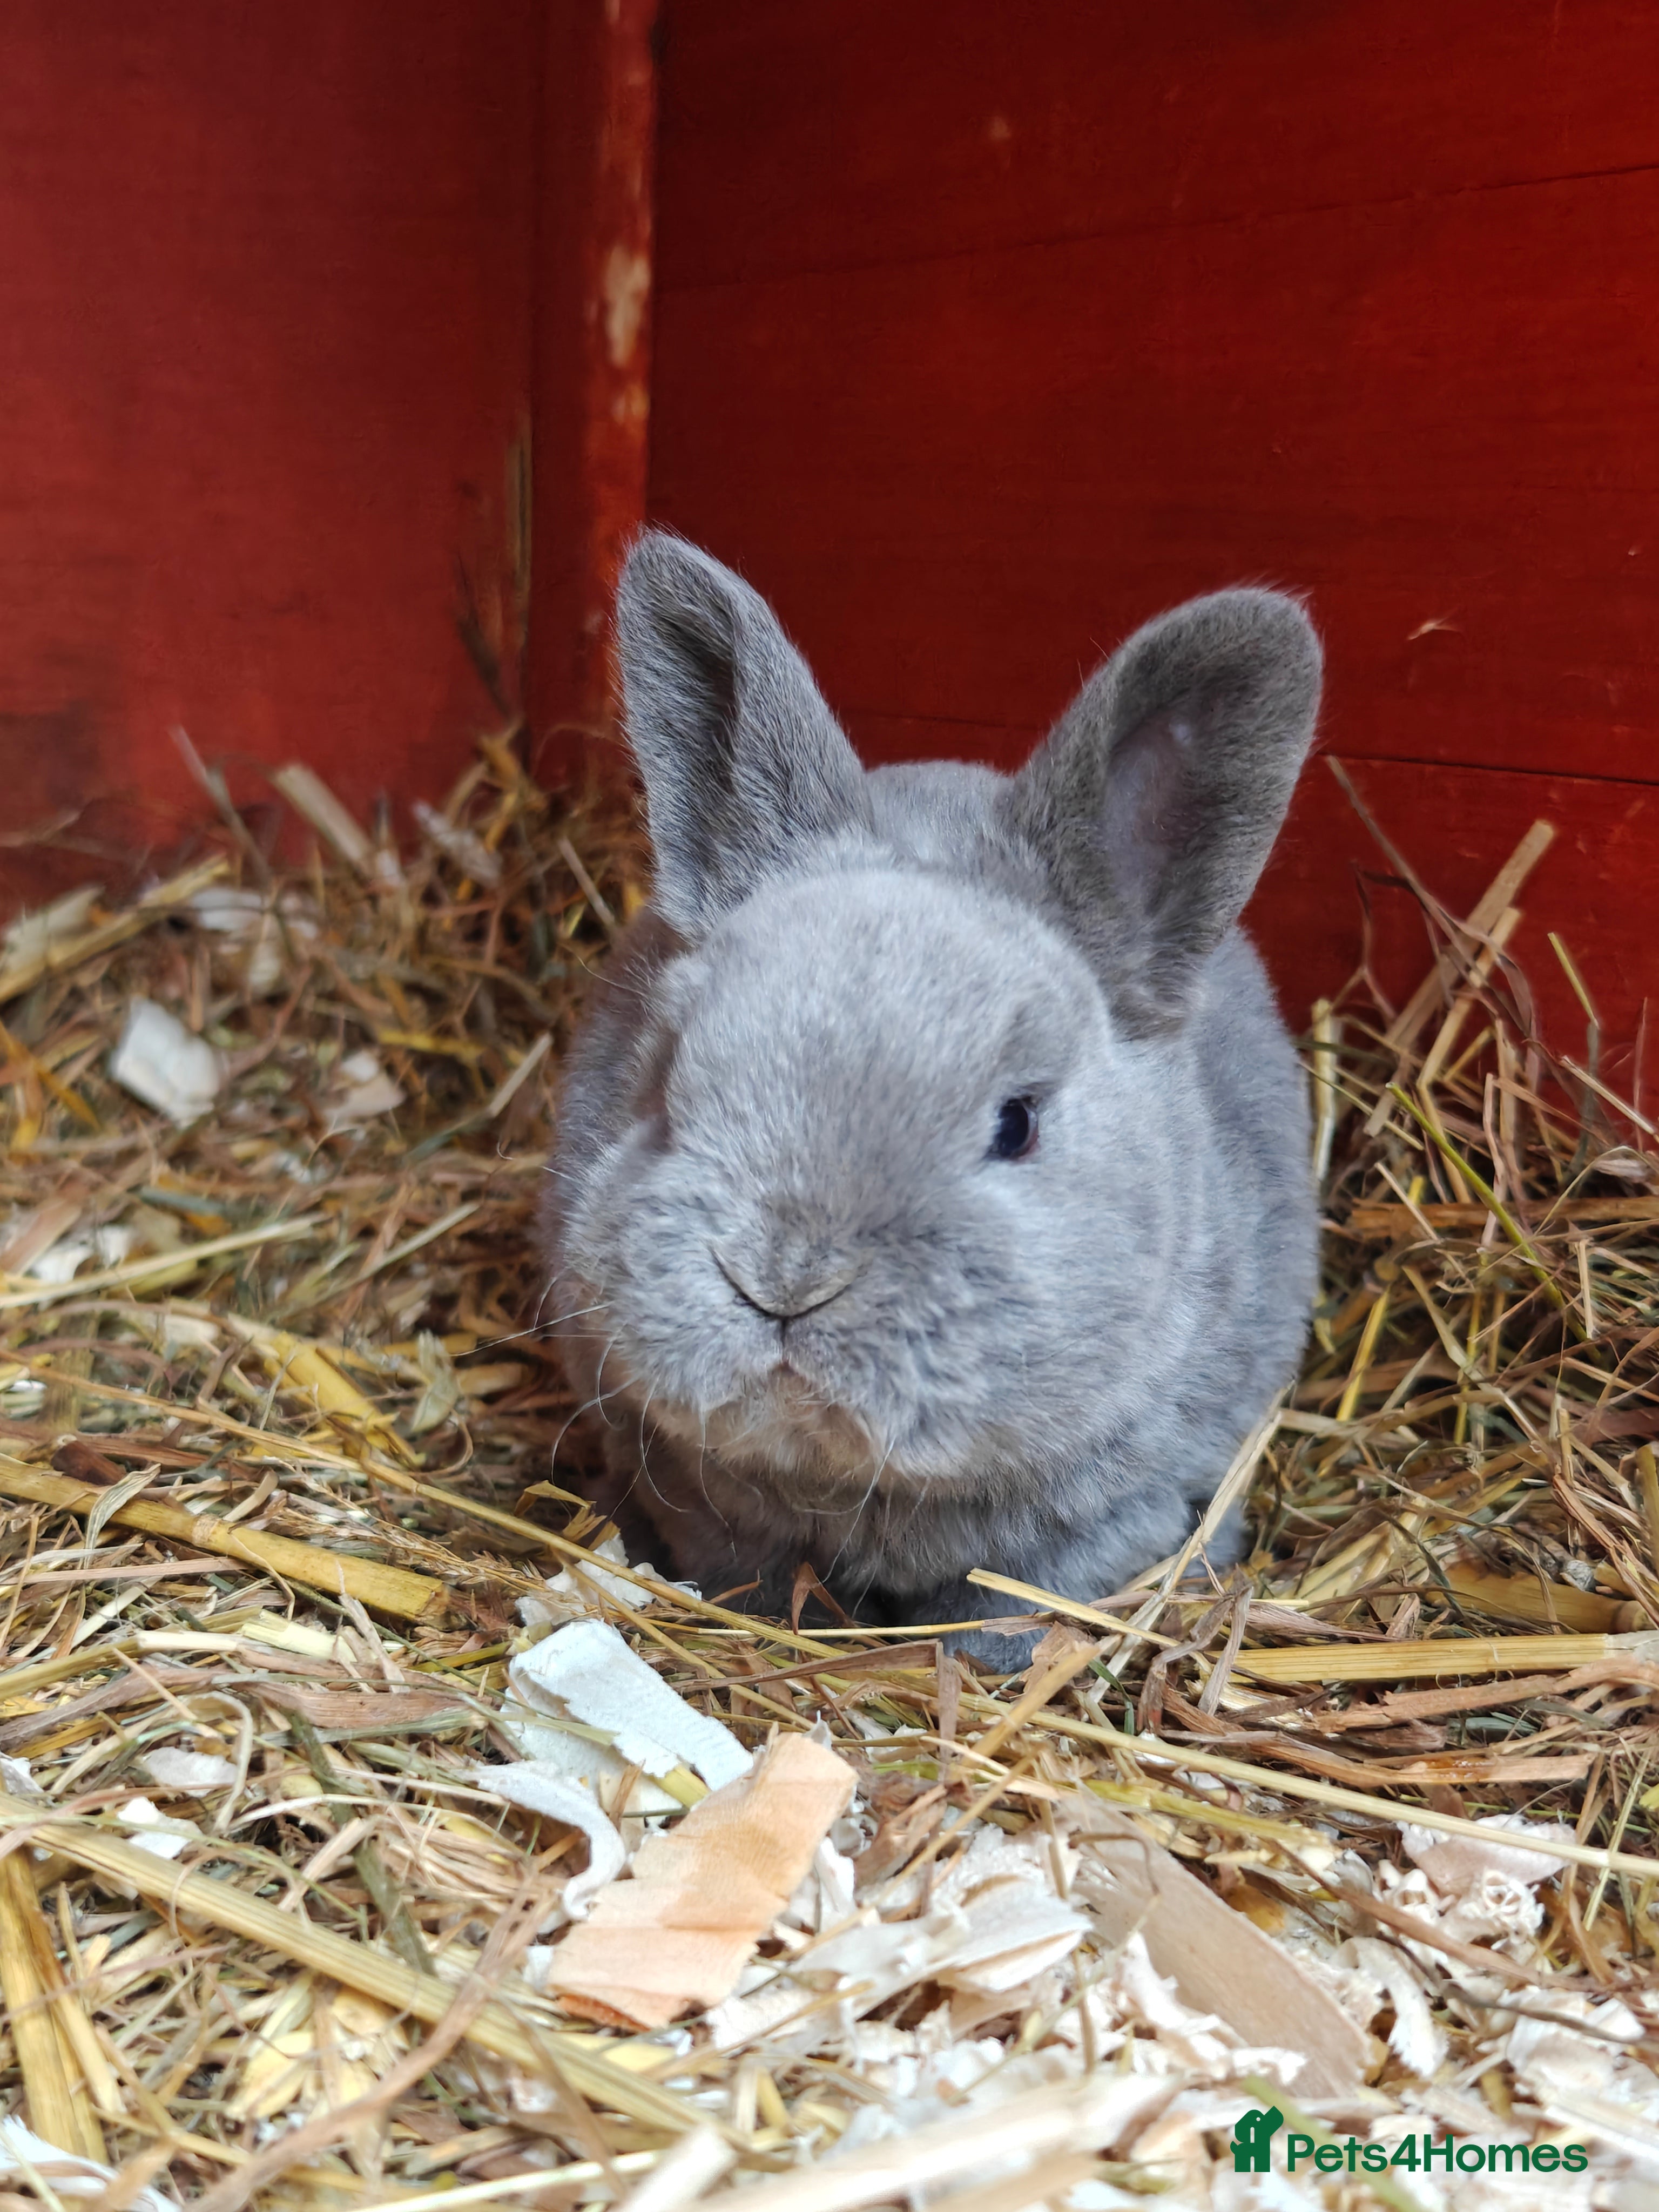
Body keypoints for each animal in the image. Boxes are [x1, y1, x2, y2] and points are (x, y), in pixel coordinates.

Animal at [541, 532, 1322, 1666]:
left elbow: (1007, 1609)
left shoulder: (1115, 1519)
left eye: (1017, 1123)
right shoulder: (703, 1503)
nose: (783, 1279)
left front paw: (967, 1662)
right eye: (667, 1071)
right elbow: (752, 1572)